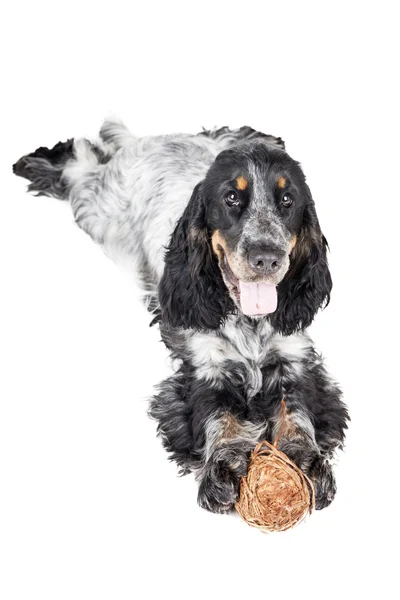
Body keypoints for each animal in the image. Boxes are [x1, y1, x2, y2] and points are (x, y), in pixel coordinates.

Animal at [14, 123, 348, 516]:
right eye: (231, 198)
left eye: (287, 200)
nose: (266, 257)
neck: (248, 321)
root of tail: (148, 142)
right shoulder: (203, 368)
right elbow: (218, 416)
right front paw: (221, 470)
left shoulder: (294, 360)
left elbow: (297, 413)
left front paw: (309, 464)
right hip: (97, 205)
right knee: (81, 161)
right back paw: (36, 162)